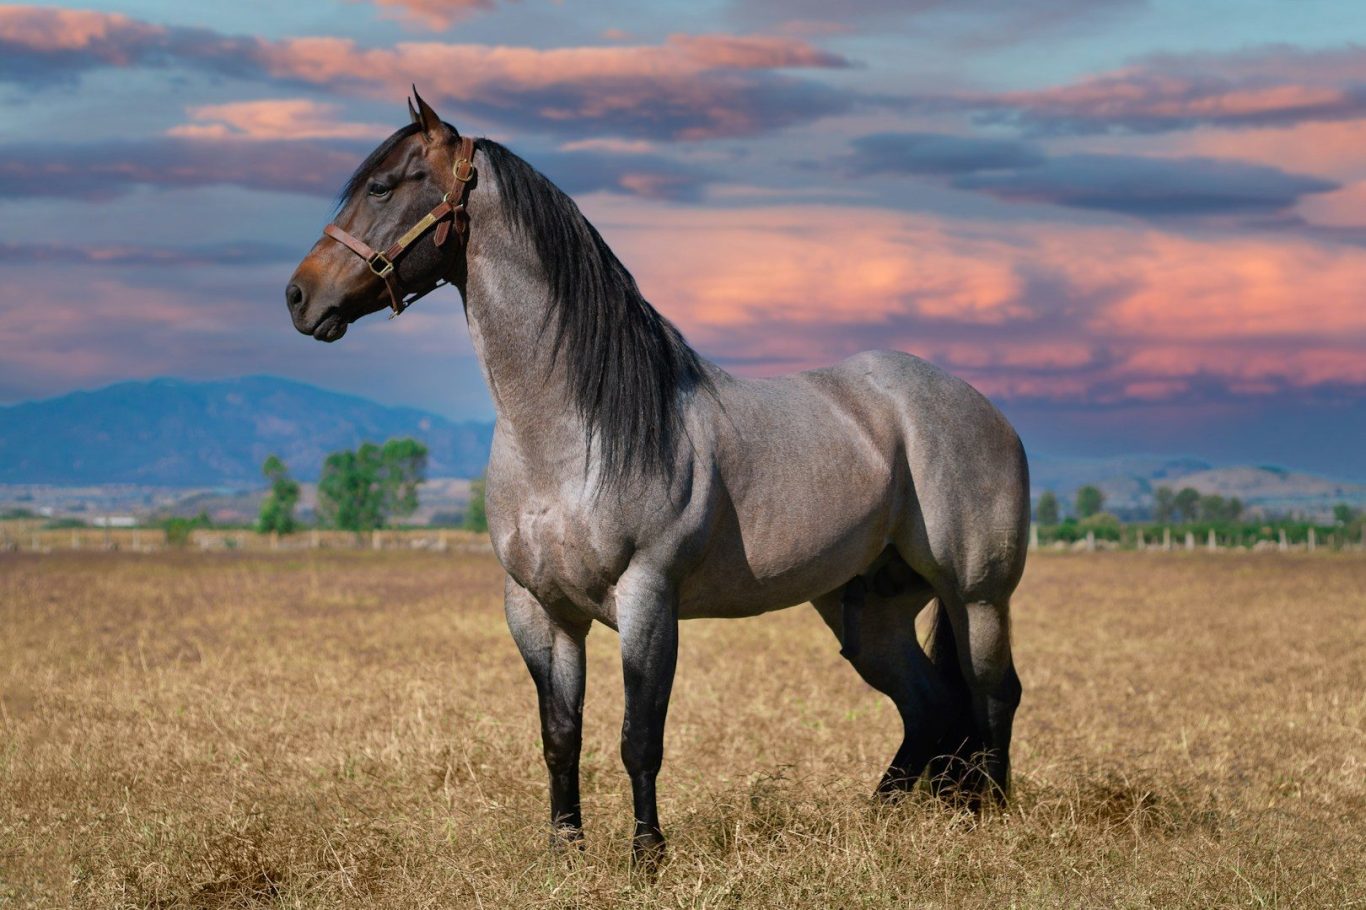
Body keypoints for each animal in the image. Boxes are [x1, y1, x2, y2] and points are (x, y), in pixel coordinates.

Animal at [286, 90, 1029, 872]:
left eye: (381, 187)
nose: (299, 297)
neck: (568, 434)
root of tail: (985, 410)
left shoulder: (647, 598)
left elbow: (639, 737)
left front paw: (647, 855)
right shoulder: (538, 609)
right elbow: (561, 737)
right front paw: (564, 850)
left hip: (977, 595)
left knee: (993, 693)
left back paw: (990, 816)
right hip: (867, 610)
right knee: (928, 706)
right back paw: (879, 818)